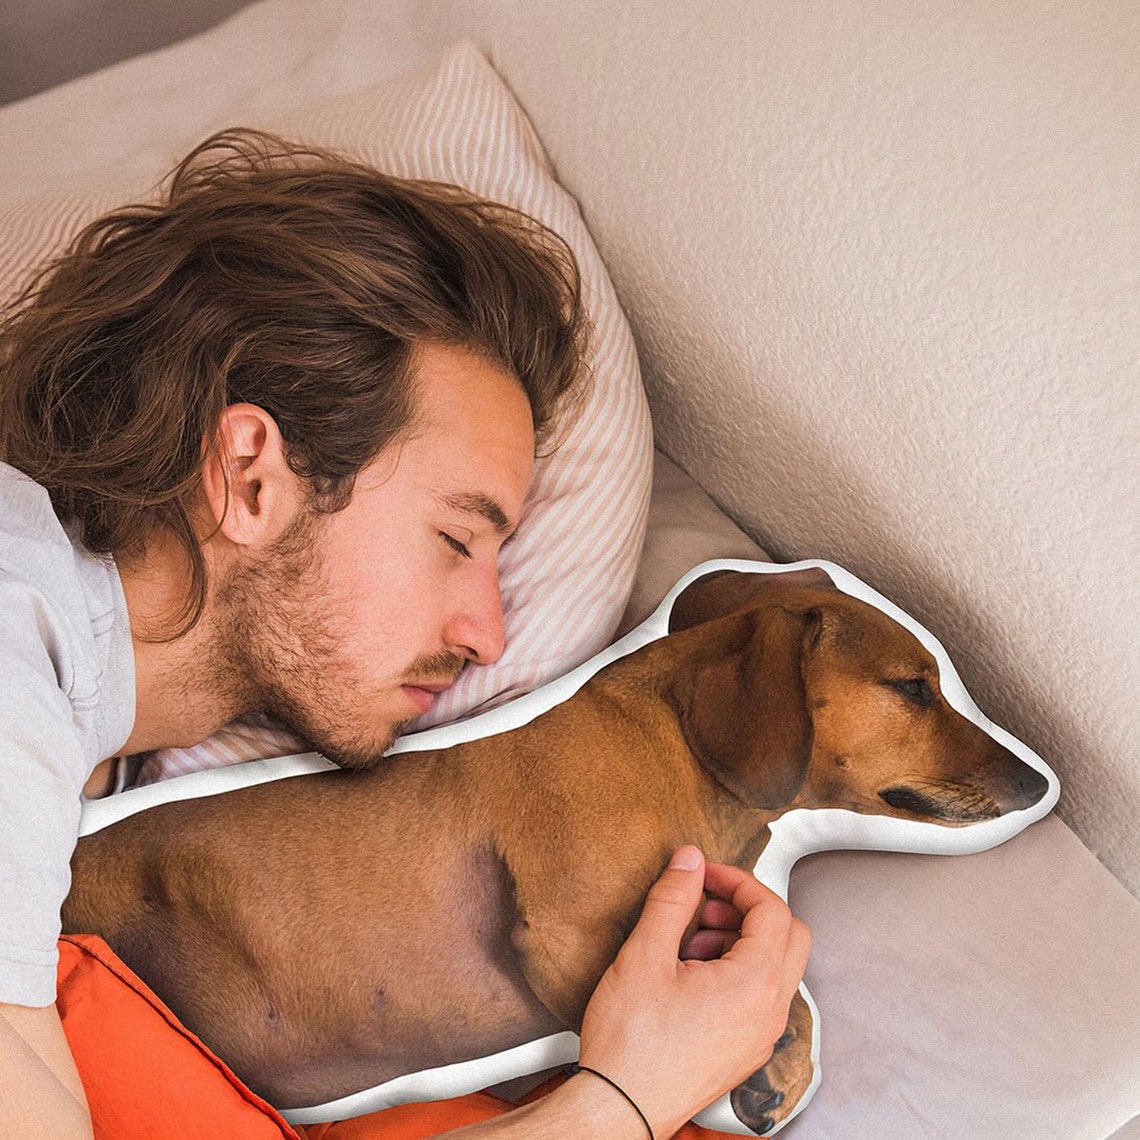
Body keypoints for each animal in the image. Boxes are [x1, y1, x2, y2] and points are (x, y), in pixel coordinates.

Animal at [60, 567, 1044, 1130]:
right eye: (914, 687)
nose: (1039, 784)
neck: (671, 742)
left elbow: (792, 997)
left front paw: (780, 1070)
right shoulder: (569, 936)